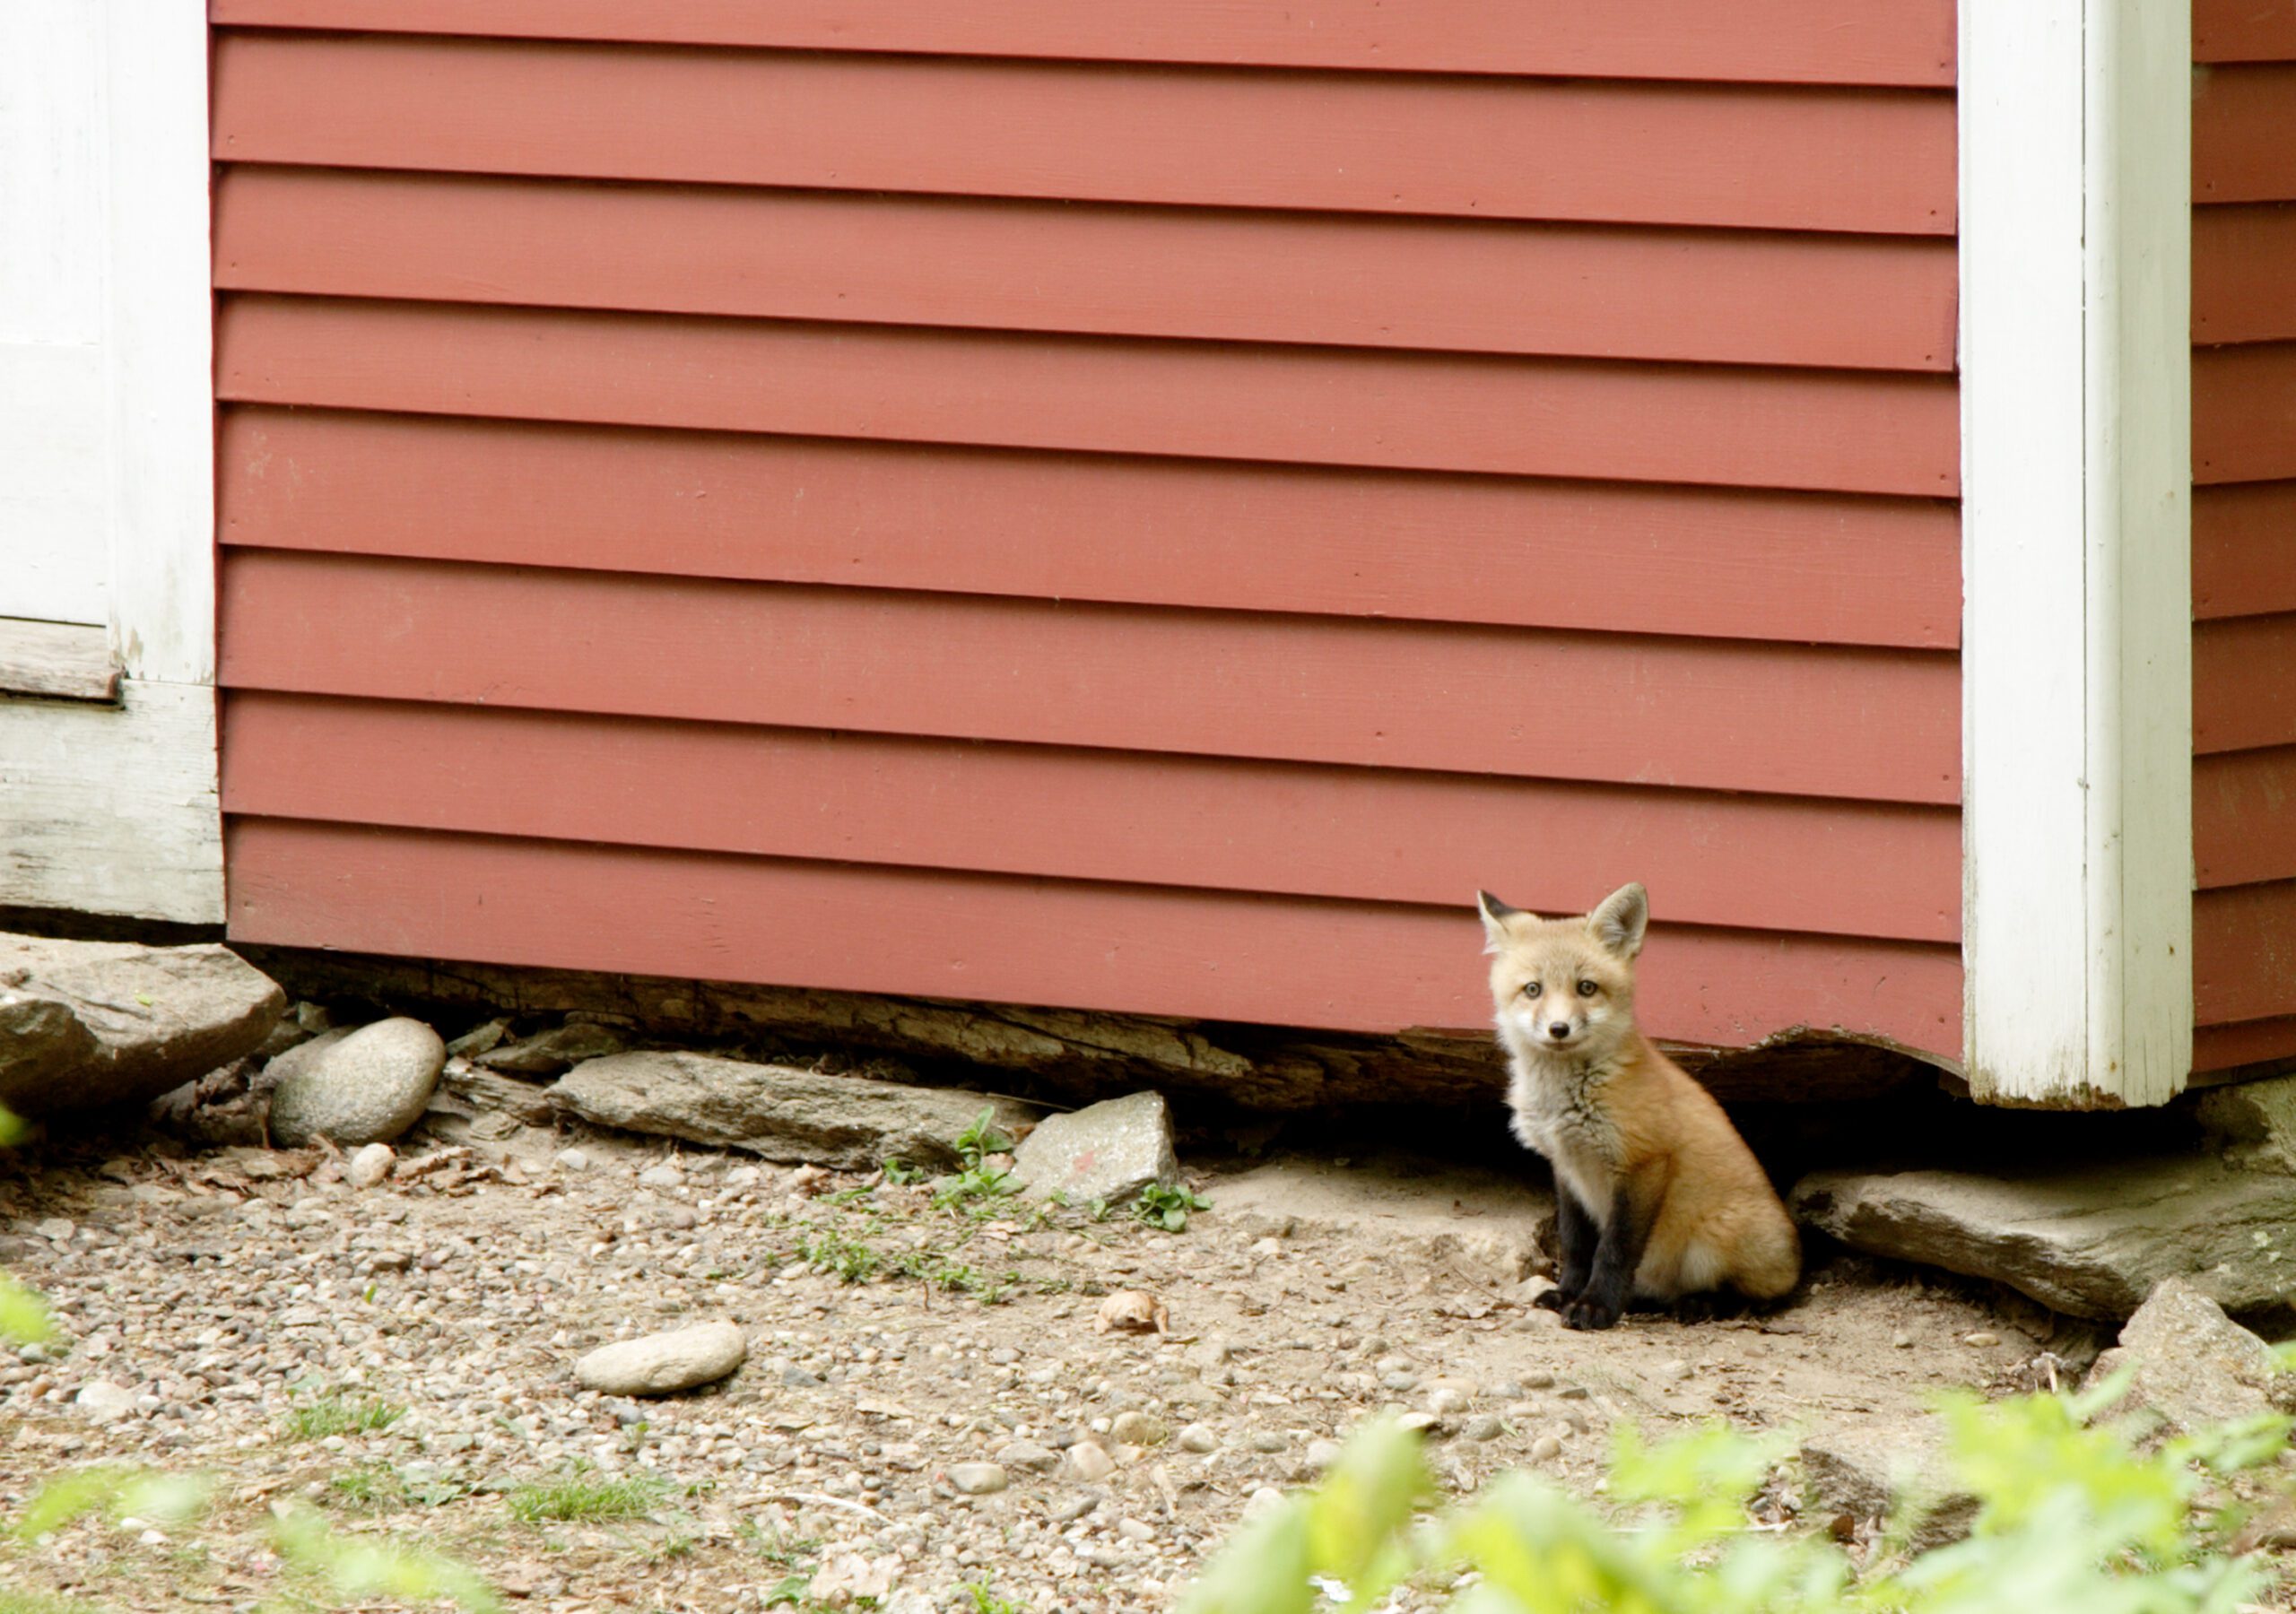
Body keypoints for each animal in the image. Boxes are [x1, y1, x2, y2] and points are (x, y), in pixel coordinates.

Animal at [1477, 882, 1799, 1331]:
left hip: (1715, 1240)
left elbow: (1614, 1250)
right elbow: (1576, 1245)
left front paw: (1596, 1307)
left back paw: (1703, 1304)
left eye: (1587, 988)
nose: (1559, 1029)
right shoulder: (1566, 1166)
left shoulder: (1643, 1161)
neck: (1568, 1101)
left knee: (1765, 1295)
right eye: (1533, 989)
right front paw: (1567, 1294)